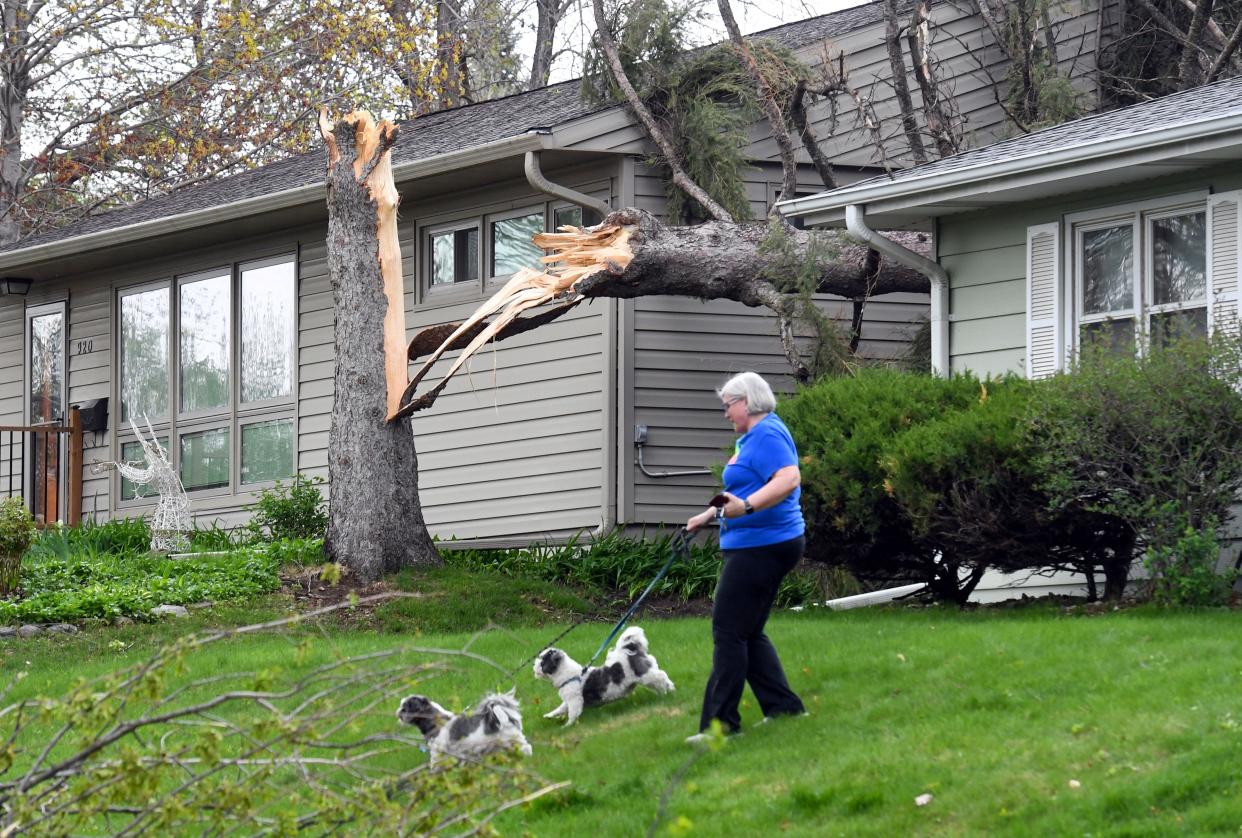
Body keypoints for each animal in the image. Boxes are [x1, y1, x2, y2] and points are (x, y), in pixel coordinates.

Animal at [397, 690, 534, 764]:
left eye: (405, 709)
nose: (398, 712)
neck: (437, 722)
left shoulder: (437, 752)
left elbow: (435, 765)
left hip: (512, 738)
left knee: (526, 747)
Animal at [529, 625, 675, 725]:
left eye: (542, 660)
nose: (533, 665)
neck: (569, 675)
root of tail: (632, 651)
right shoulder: (568, 701)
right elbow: (560, 709)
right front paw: (549, 715)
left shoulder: (574, 700)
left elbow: (572, 713)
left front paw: (568, 726)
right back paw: (665, 691)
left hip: (645, 675)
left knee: (661, 676)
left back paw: (668, 690)